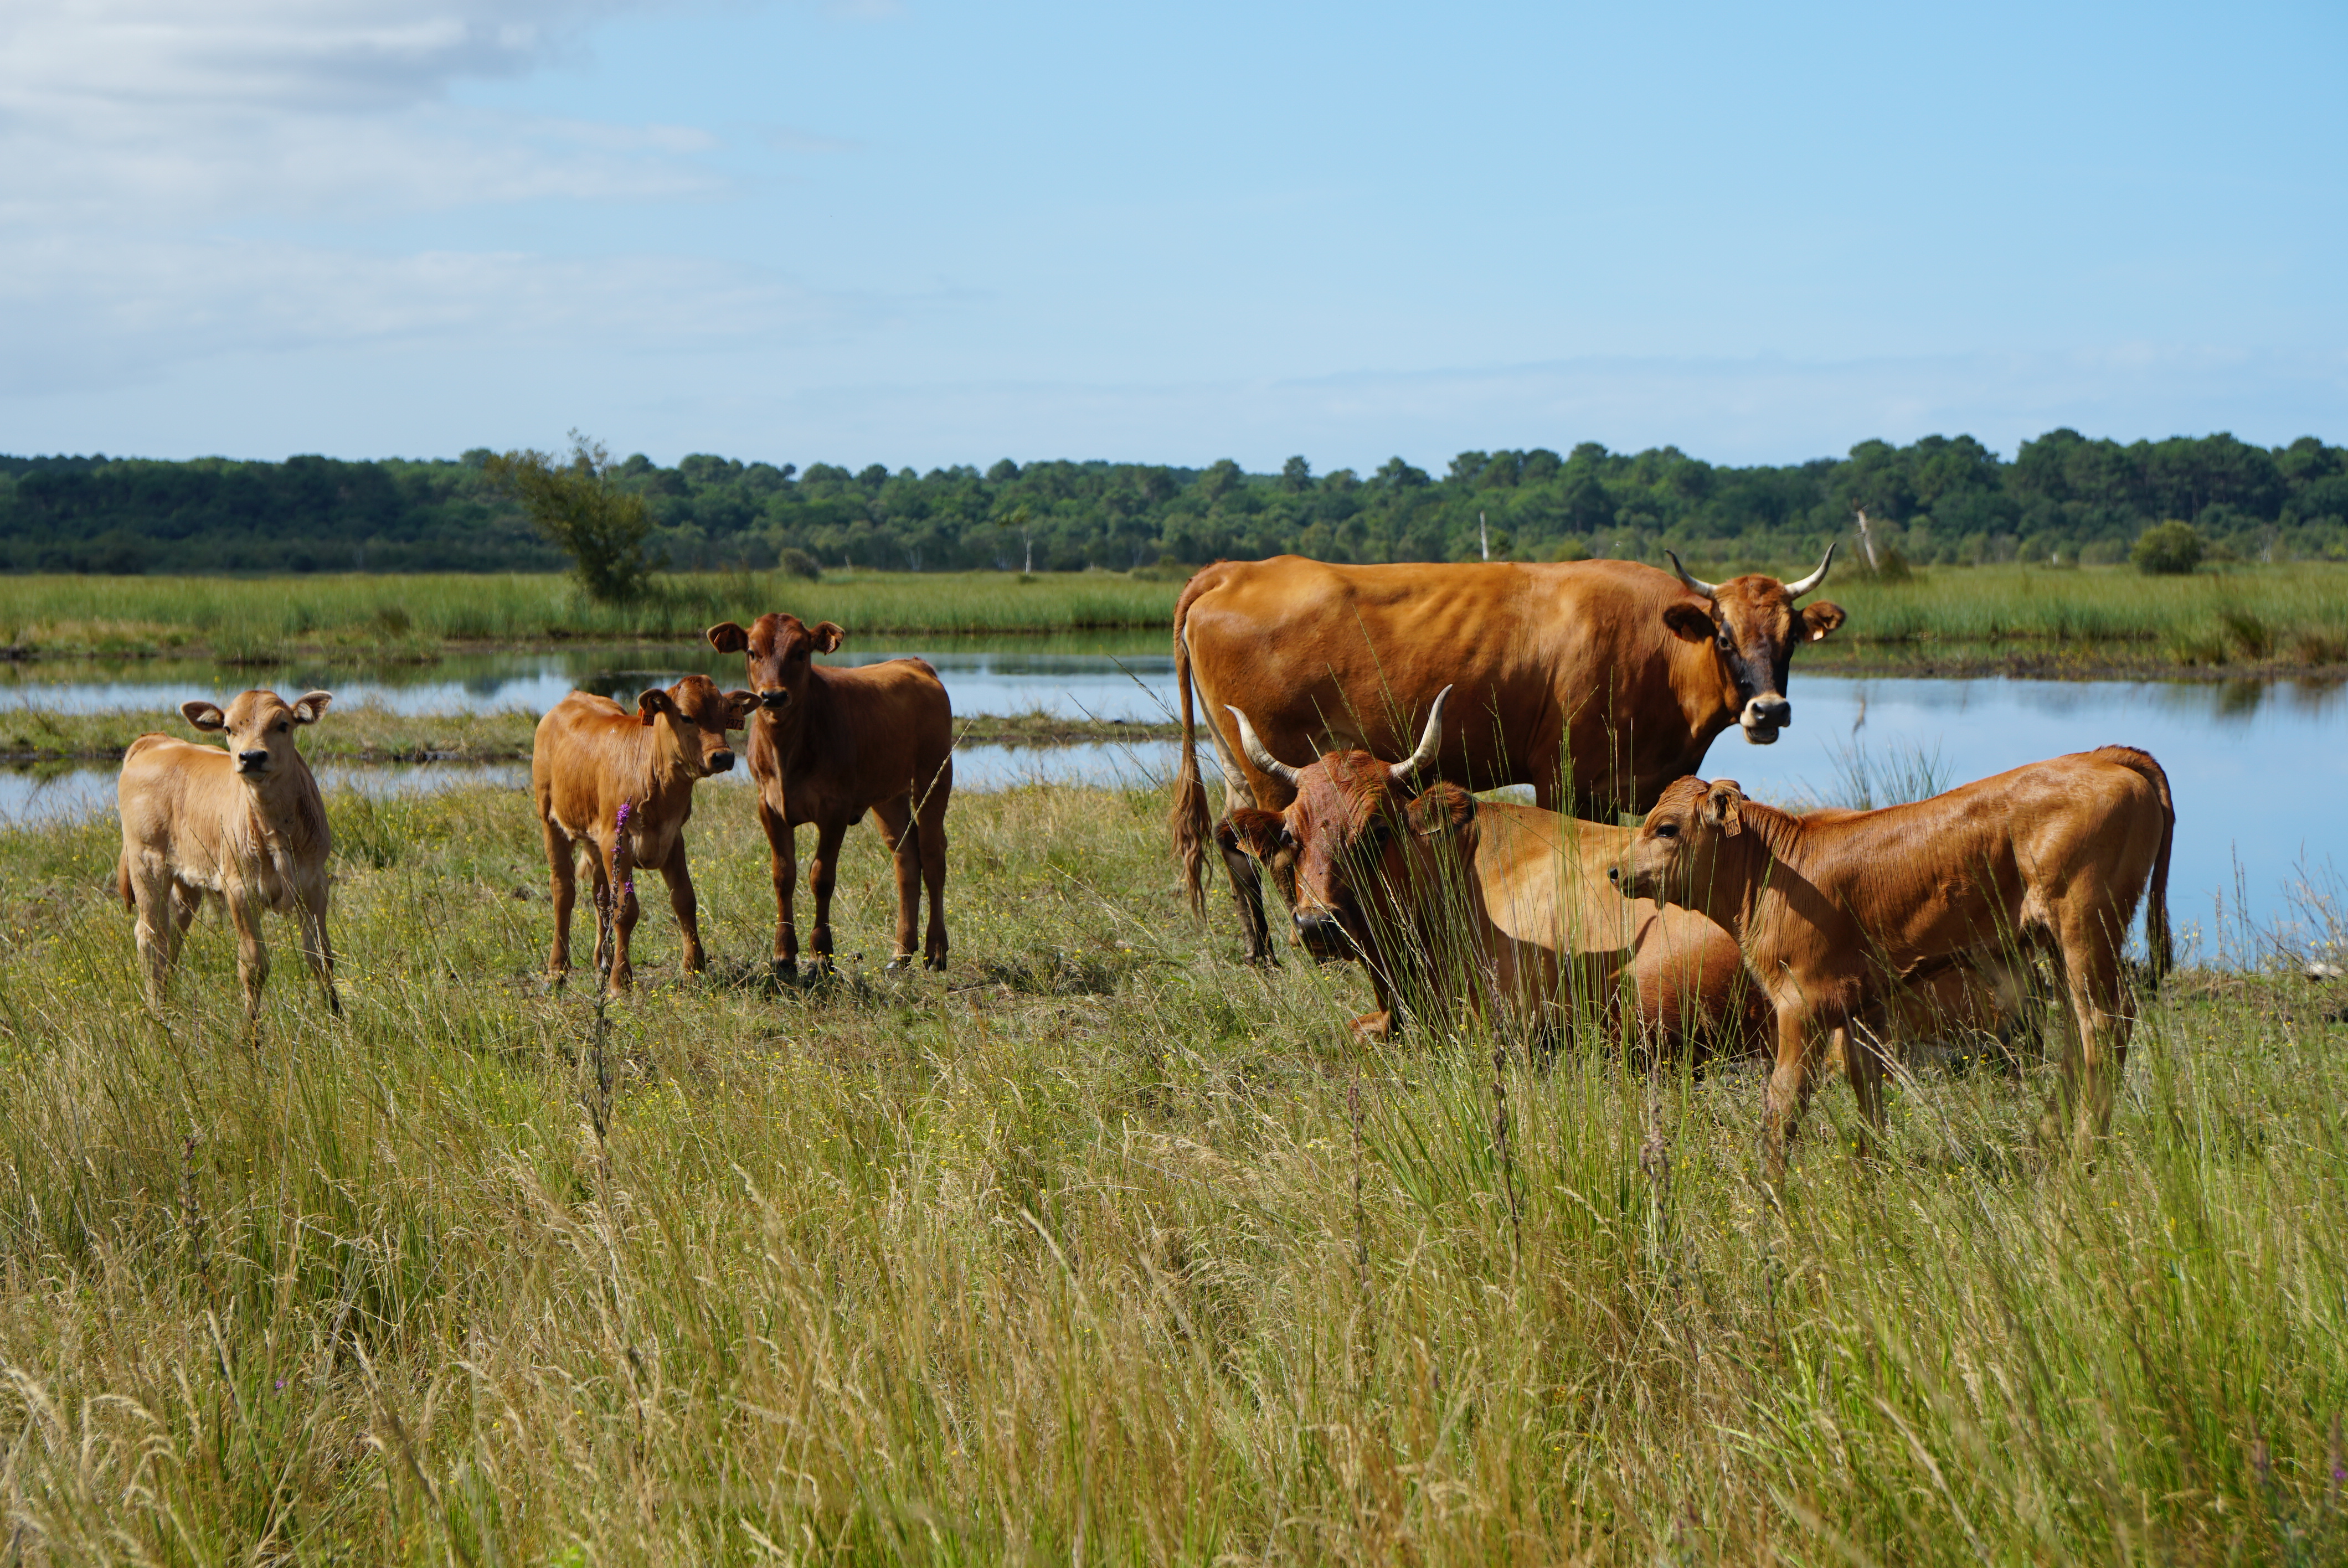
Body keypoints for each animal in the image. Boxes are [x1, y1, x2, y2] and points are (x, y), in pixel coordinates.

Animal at [116, 689, 341, 1022]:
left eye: (283, 725)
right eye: (228, 728)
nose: (252, 757)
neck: (275, 826)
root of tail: (154, 741)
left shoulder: (315, 884)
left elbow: (321, 958)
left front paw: (338, 1021)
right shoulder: (240, 890)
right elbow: (253, 967)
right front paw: (251, 1032)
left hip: (187, 882)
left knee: (171, 937)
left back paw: (166, 1004)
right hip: (146, 865)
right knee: (150, 938)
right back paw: (158, 1016)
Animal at [532, 675, 758, 991]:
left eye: (726, 714)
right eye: (686, 716)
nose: (723, 756)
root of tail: (571, 699)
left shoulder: (673, 838)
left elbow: (684, 900)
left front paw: (694, 969)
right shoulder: (617, 840)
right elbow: (626, 910)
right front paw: (620, 980)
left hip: (594, 840)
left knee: (600, 894)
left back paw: (601, 961)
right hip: (551, 820)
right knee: (564, 891)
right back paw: (557, 969)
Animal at [706, 614, 954, 974]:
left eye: (801, 652)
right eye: (752, 652)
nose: (773, 696)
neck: (787, 750)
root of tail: (915, 663)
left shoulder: (835, 809)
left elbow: (821, 878)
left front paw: (822, 955)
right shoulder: (768, 806)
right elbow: (783, 875)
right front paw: (784, 955)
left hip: (933, 776)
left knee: (933, 853)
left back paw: (935, 951)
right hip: (888, 796)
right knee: (907, 857)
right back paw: (901, 953)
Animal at [1170, 549, 1845, 962]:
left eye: (1790, 637)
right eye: (1725, 637)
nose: (1770, 711)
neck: (1655, 651)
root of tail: (1233, 570)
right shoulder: (1565, 775)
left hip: (1239, 762)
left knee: (1234, 844)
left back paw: (1260, 955)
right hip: (1274, 774)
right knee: (1277, 856)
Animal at [1611, 748, 2175, 1173]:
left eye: (1665, 828)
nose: (1615, 871)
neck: (1773, 873)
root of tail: (2102, 755)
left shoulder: (1803, 1005)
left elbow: (1784, 1102)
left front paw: (1771, 1187)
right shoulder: (1862, 1006)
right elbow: (1868, 1089)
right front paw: (1870, 1171)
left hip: (2086, 926)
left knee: (2104, 1025)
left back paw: (2083, 1153)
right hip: (2057, 942)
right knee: (2076, 1033)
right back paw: (2049, 1140)